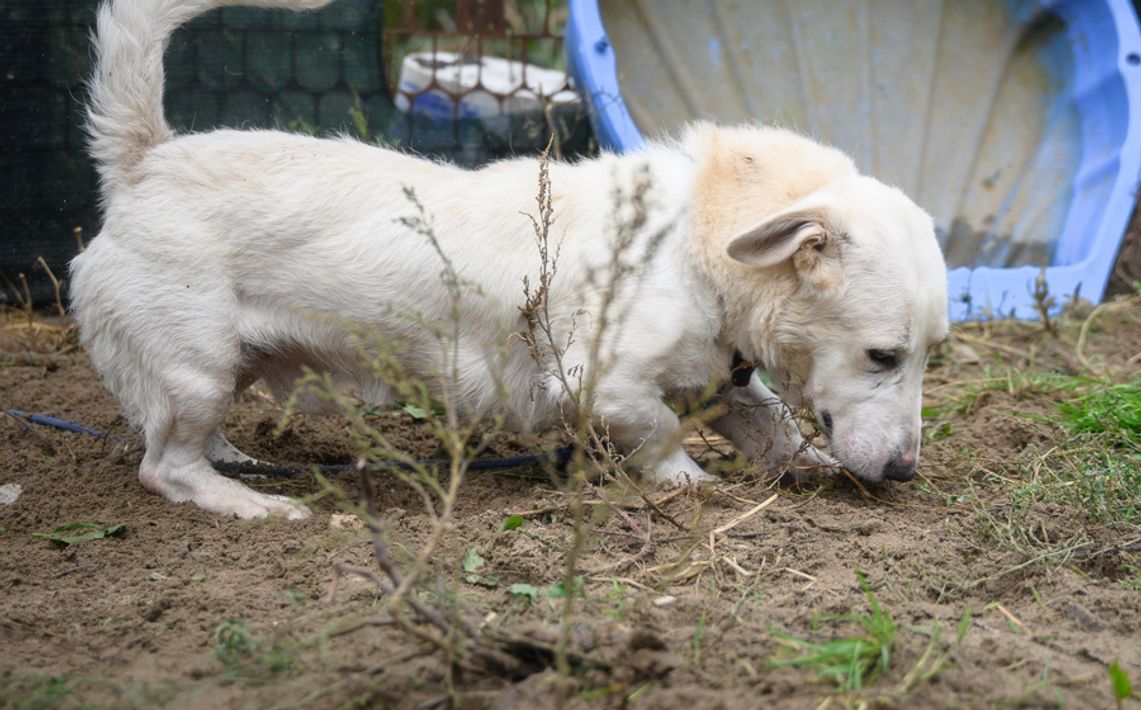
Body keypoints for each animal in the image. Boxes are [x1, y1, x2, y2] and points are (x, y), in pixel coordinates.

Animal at [72, 0, 949, 520]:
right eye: (882, 356)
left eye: (924, 357)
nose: (906, 472)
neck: (689, 241)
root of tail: (147, 162)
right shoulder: (605, 383)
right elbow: (661, 431)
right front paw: (686, 484)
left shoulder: (719, 378)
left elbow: (770, 421)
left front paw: (804, 463)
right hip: (196, 366)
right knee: (165, 467)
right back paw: (253, 504)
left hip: (226, 364)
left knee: (187, 441)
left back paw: (244, 466)